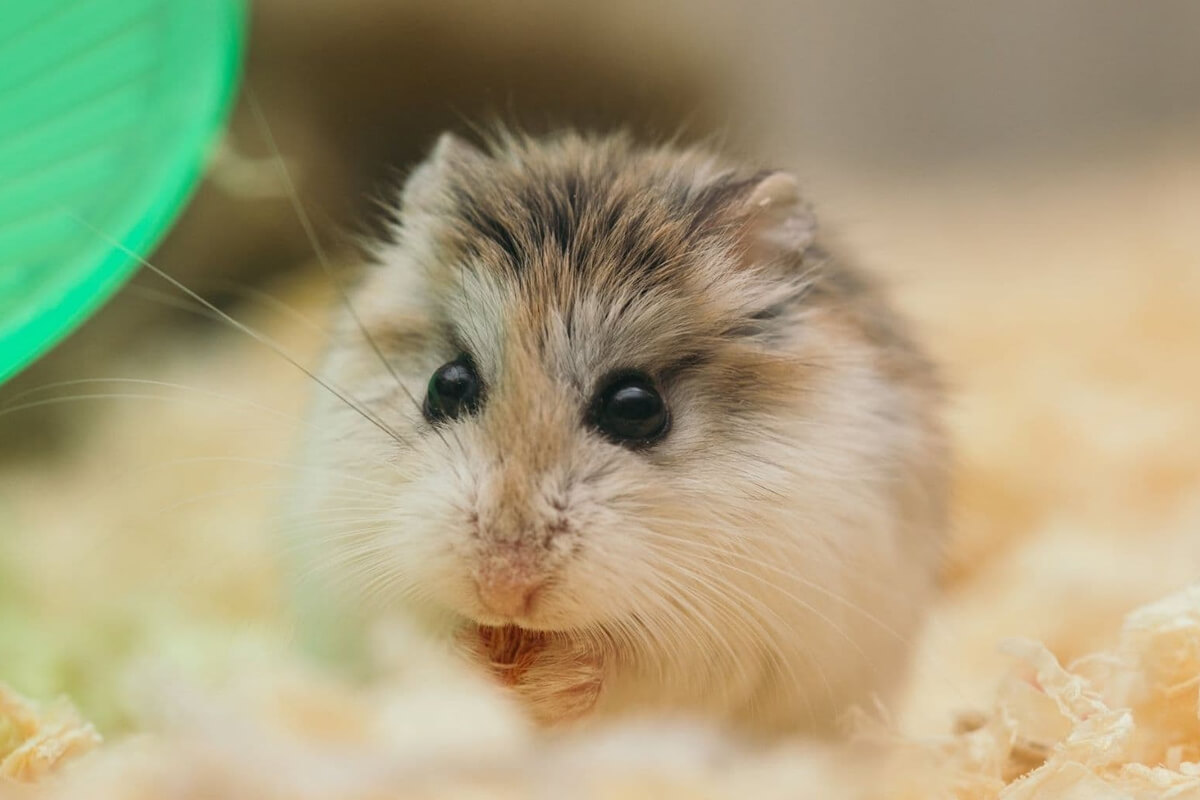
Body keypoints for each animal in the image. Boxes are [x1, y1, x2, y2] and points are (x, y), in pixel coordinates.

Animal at [287, 130, 947, 738]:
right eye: (446, 384)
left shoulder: (738, 638)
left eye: (636, 407)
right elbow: (412, 640)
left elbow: (628, 670)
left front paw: (547, 682)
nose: (504, 589)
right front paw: (477, 664)